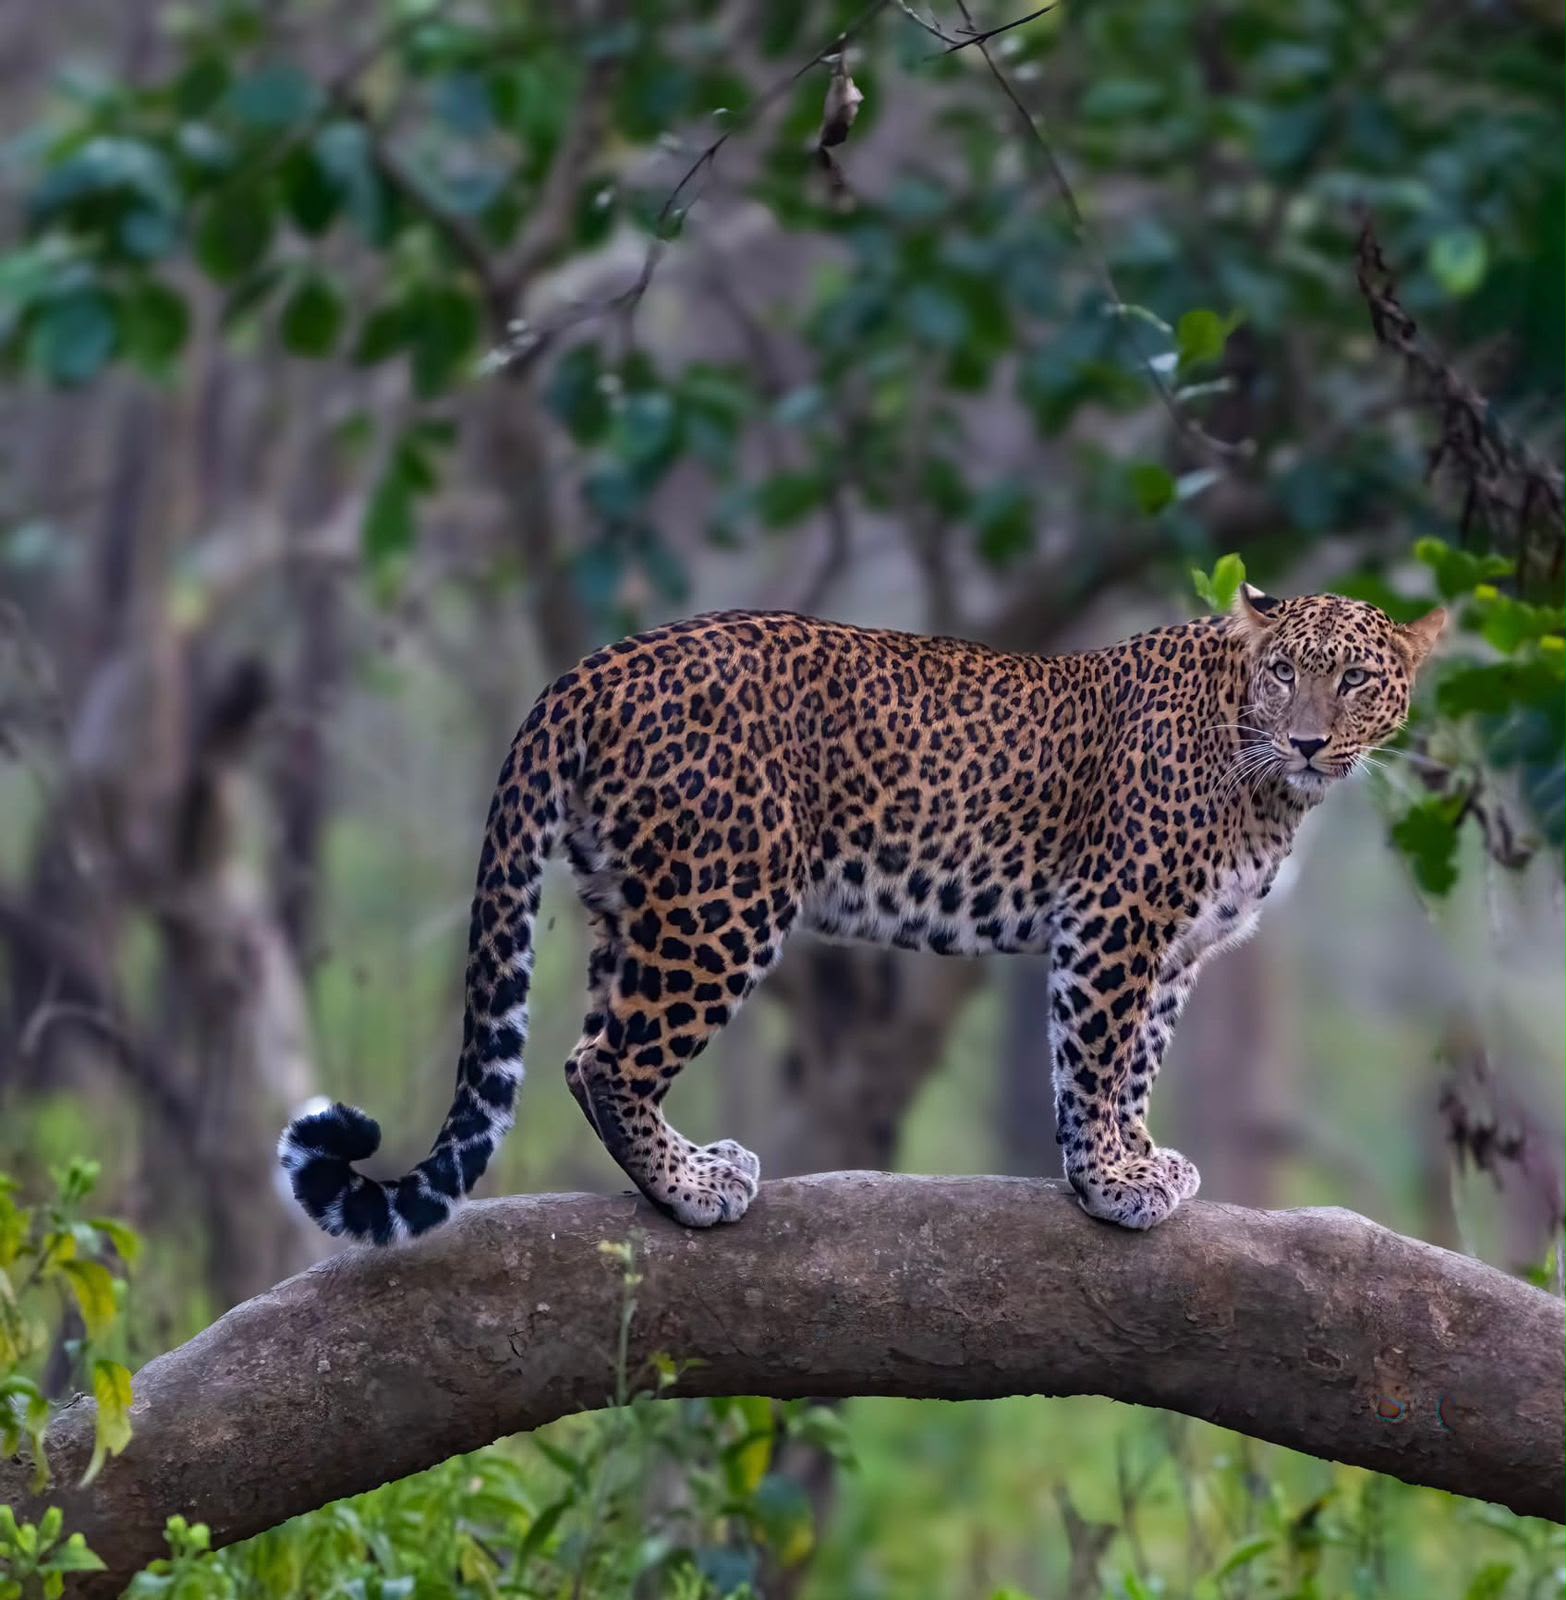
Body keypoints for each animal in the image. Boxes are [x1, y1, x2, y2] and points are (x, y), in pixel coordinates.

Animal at [280, 585, 1445, 1240]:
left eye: (1355, 679)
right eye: (1285, 670)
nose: (1306, 740)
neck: (1272, 788)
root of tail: (590, 668)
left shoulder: (1179, 948)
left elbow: (1136, 1062)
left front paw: (1133, 1159)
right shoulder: (1117, 916)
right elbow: (1098, 1056)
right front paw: (1110, 1181)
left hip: (632, 899)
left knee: (589, 1048)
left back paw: (690, 1170)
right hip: (724, 898)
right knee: (604, 1060)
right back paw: (694, 1192)